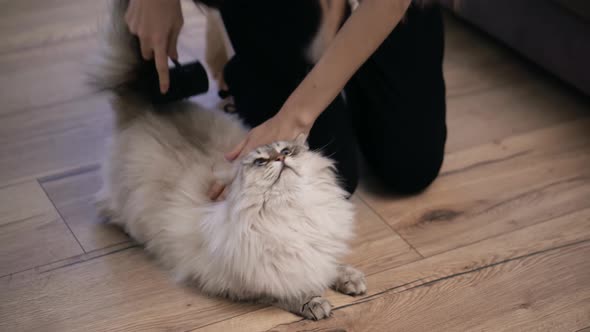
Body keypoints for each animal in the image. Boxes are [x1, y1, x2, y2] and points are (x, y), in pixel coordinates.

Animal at [91, 0, 368, 320]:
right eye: (262, 161)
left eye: (287, 152)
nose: (278, 158)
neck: (289, 214)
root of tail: (143, 105)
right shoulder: (248, 280)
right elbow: (286, 289)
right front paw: (313, 301)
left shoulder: (316, 246)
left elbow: (329, 264)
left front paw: (349, 279)